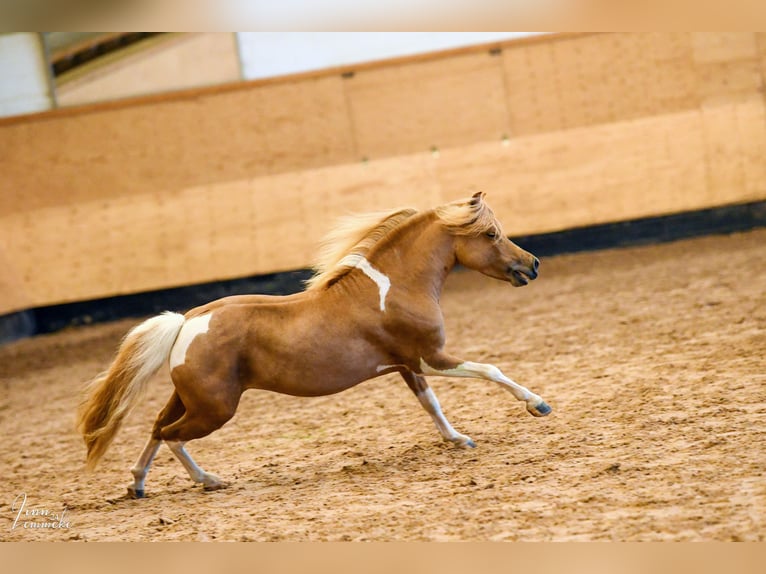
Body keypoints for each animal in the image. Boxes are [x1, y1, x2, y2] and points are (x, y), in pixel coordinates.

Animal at [78, 194, 548, 500]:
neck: (393, 287)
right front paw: (538, 405)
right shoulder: (430, 358)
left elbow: (430, 405)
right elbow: (490, 370)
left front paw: (458, 439)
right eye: (491, 234)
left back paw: (137, 483)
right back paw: (208, 480)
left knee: (156, 427)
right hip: (214, 408)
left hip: (190, 398)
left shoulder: (406, 365)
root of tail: (187, 322)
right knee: (171, 435)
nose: (532, 265)